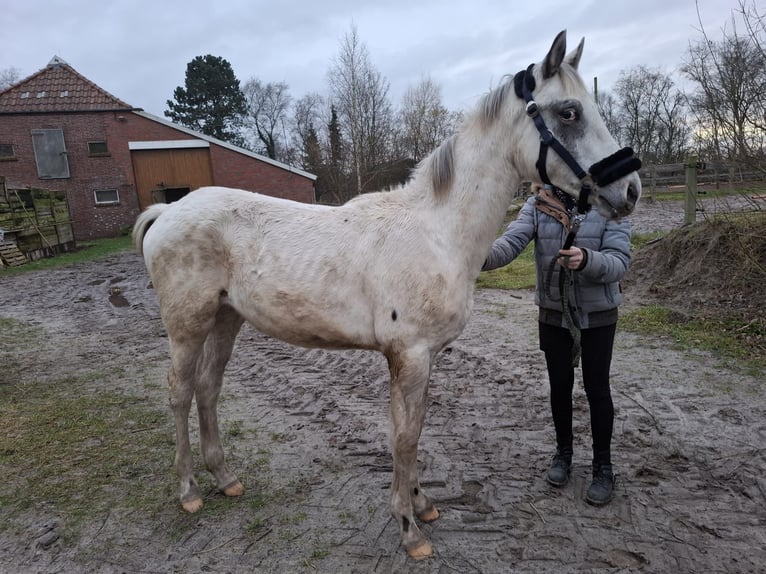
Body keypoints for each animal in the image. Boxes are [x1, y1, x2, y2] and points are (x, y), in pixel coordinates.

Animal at [130, 31, 640, 564]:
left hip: (226, 320)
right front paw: (409, 529)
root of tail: (168, 212)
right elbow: (404, 436)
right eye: (569, 112)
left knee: (208, 389)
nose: (630, 190)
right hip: (188, 326)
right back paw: (189, 490)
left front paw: (424, 505)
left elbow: (414, 429)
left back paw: (226, 479)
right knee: (181, 392)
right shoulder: (408, 355)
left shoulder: (424, 356)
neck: (437, 232)